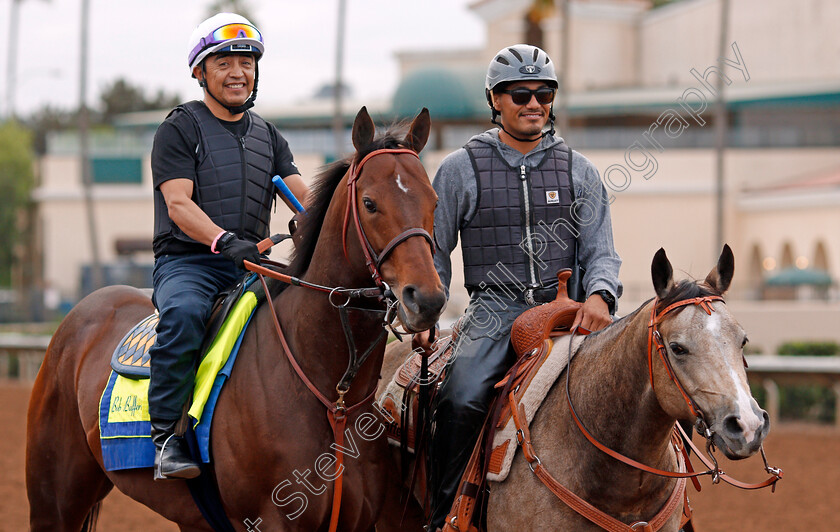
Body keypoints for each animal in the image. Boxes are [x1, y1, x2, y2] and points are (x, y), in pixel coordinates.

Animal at [26, 106, 446, 528]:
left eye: (435, 201)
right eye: (370, 203)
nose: (426, 299)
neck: (334, 398)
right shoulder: (273, 520)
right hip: (54, 500)